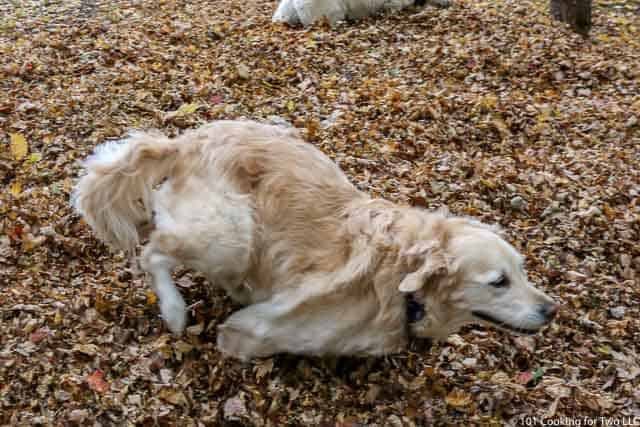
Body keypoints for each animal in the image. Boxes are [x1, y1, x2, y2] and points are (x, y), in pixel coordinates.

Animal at [72, 120, 556, 362]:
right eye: (498, 282)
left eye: (523, 270)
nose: (552, 309)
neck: (404, 281)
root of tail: (185, 141)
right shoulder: (256, 328)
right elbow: (246, 337)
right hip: (230, 233)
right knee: (153, 251)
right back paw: (174, 312)